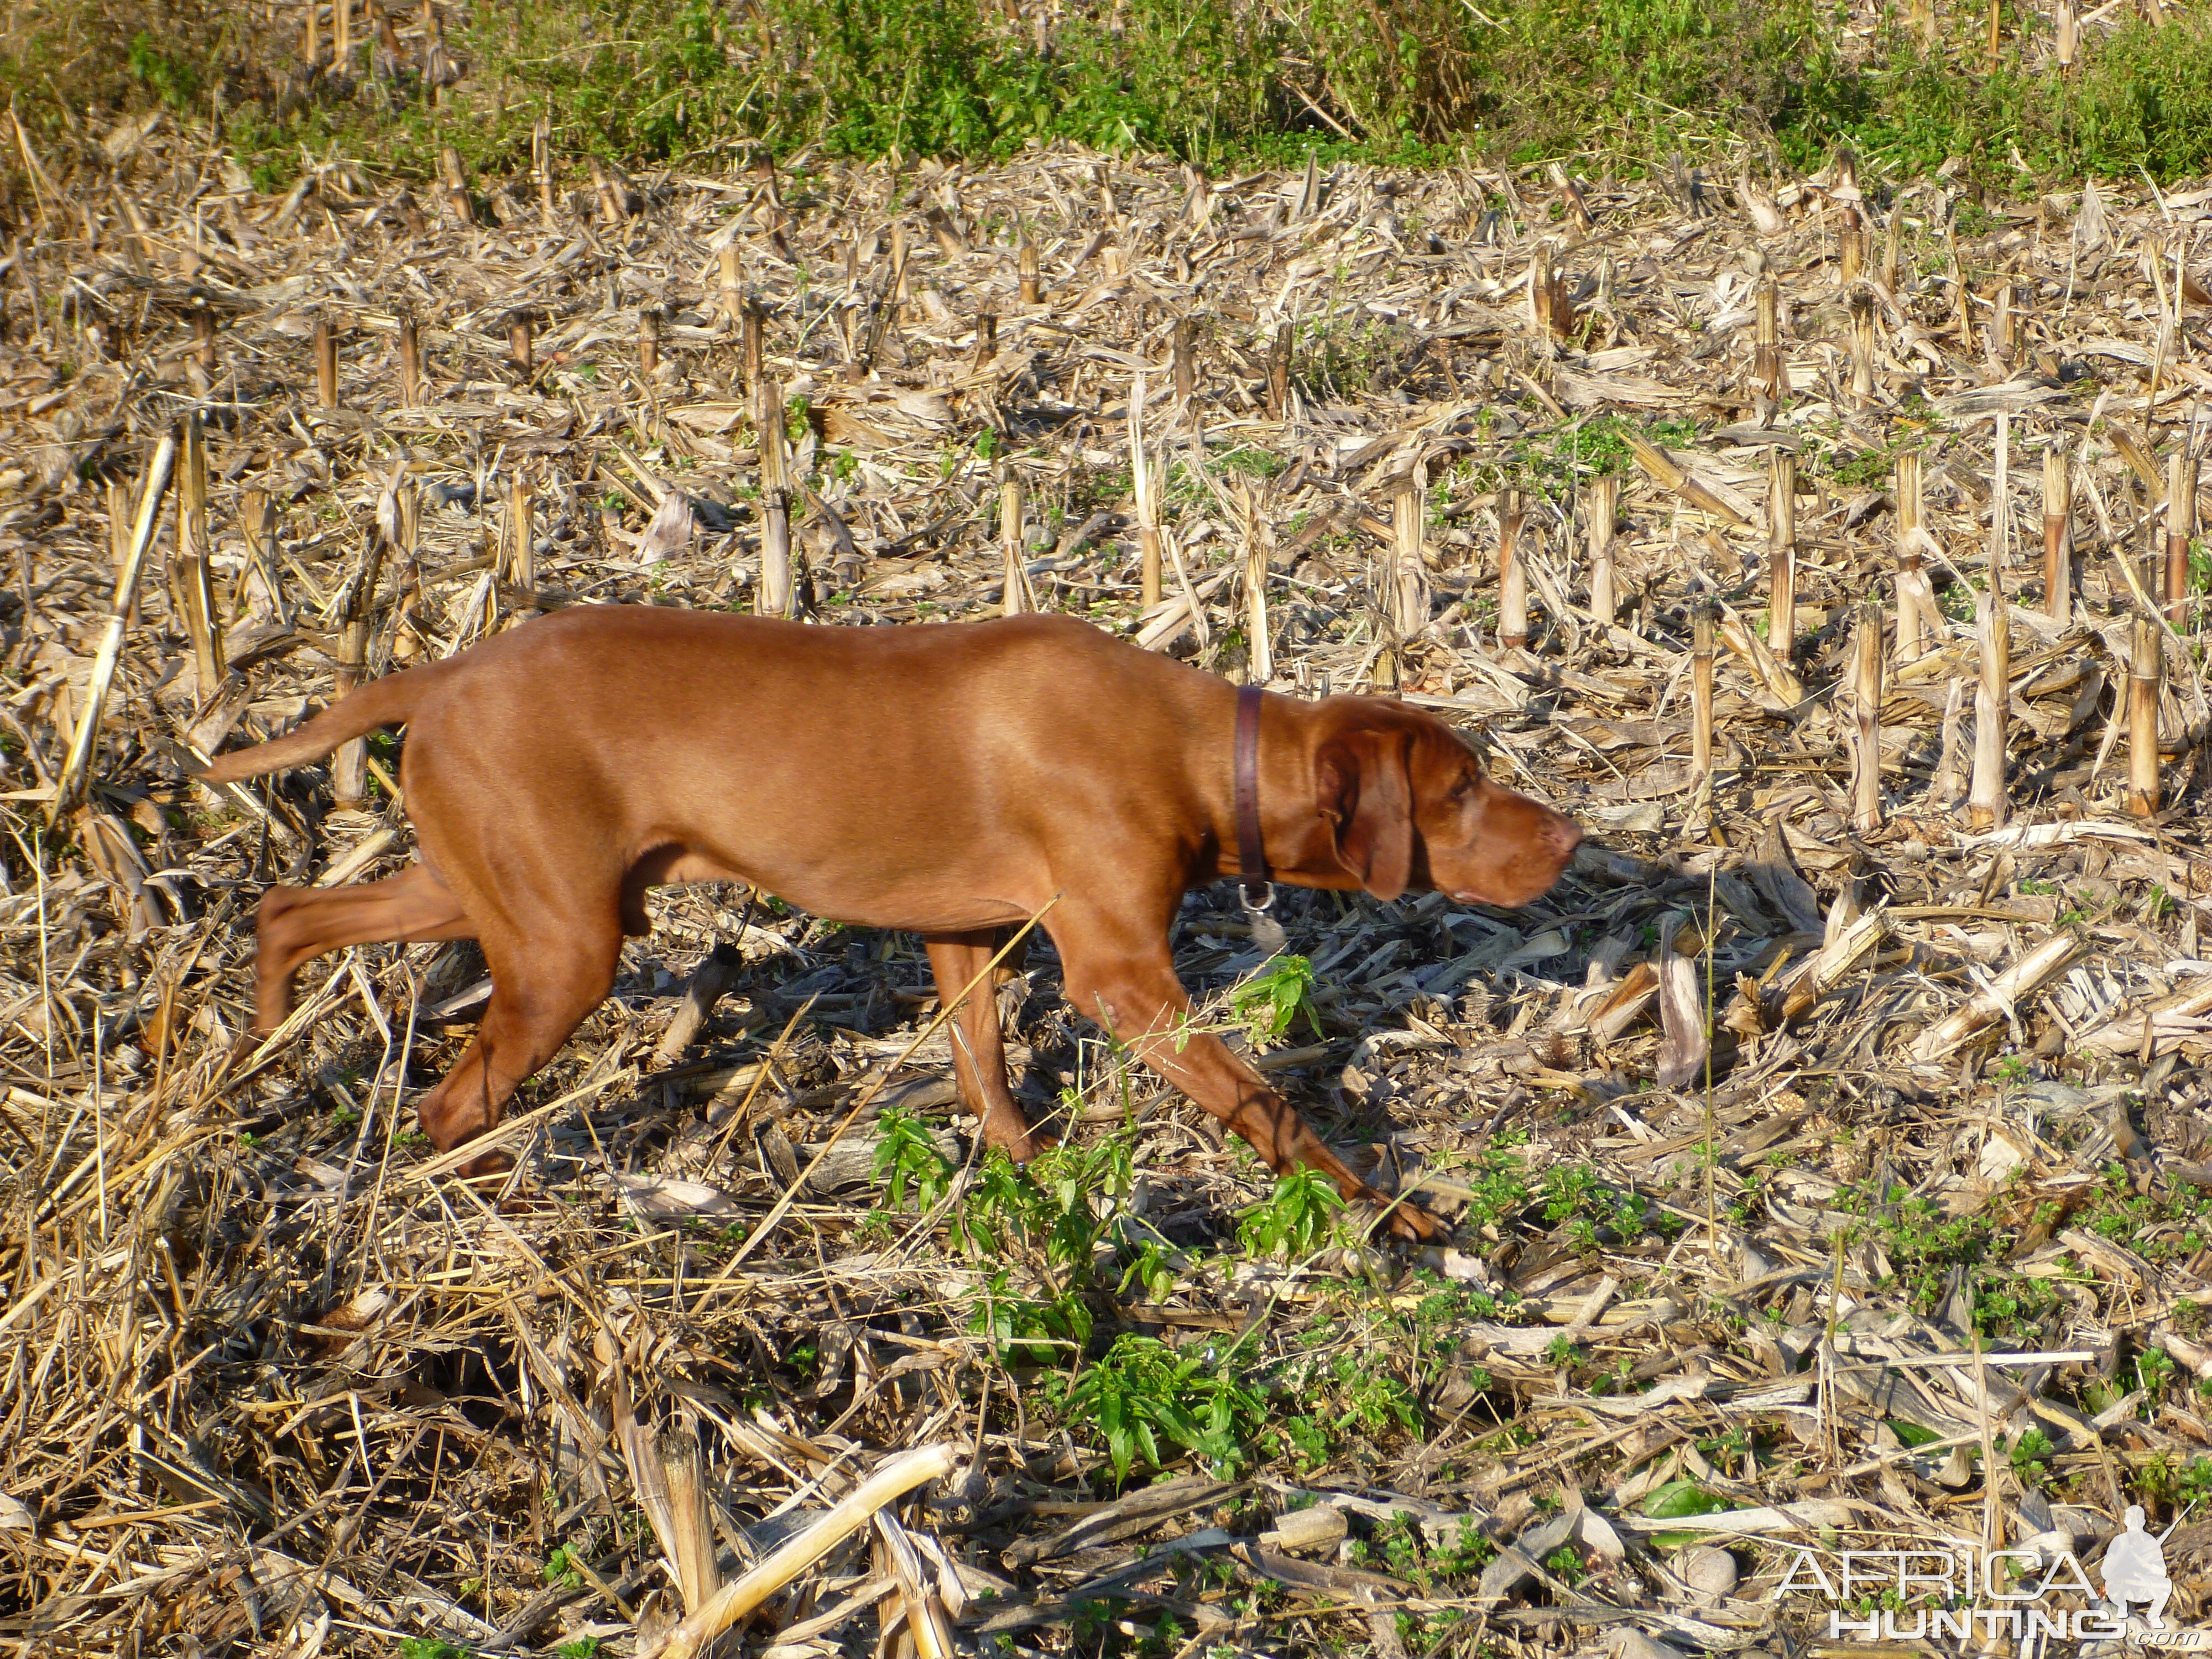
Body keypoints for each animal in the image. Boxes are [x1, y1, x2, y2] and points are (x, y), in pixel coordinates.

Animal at [204, 606, 1575, 1239]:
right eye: (1460, 790)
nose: (1567, 840)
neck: (1199, 751)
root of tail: (442, 670)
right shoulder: (1122, 980)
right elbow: (1268, 1106)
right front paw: (1391, 1215)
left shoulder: (962, 934)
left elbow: (985, 1070)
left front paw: (1035, 1187)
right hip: (562, 944)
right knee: (451, 1103)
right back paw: (492, 1199)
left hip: (486, 888)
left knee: (290, 909)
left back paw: (256, 1045)